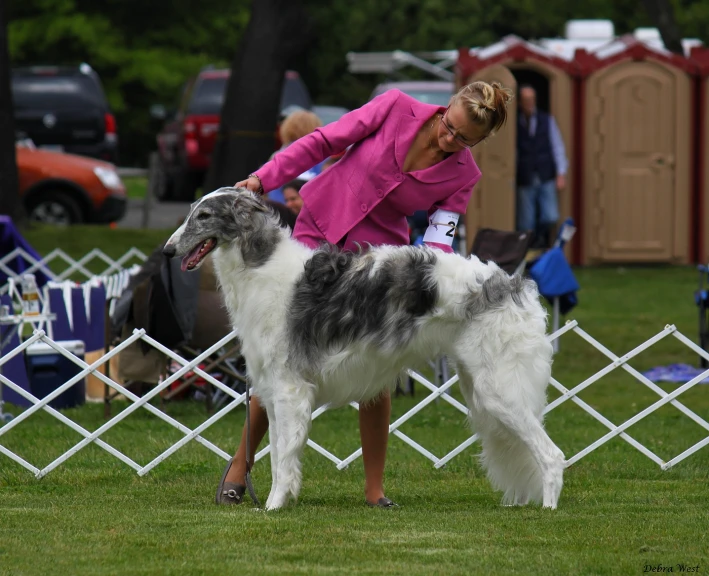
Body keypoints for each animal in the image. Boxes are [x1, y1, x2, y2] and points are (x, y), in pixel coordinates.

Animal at [165, 187, 564, 510]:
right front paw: (281, 500)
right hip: (480, 386)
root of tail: (516, 286)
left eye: (204, 216)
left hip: (499, 391)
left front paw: (274, 507)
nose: (168, 250)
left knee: (553, 455)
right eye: (191, 211)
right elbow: (279, 454)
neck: (260, 266)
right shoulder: (273, 391)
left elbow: (283, 460)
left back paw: (547, 509)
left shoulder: (290, 391)